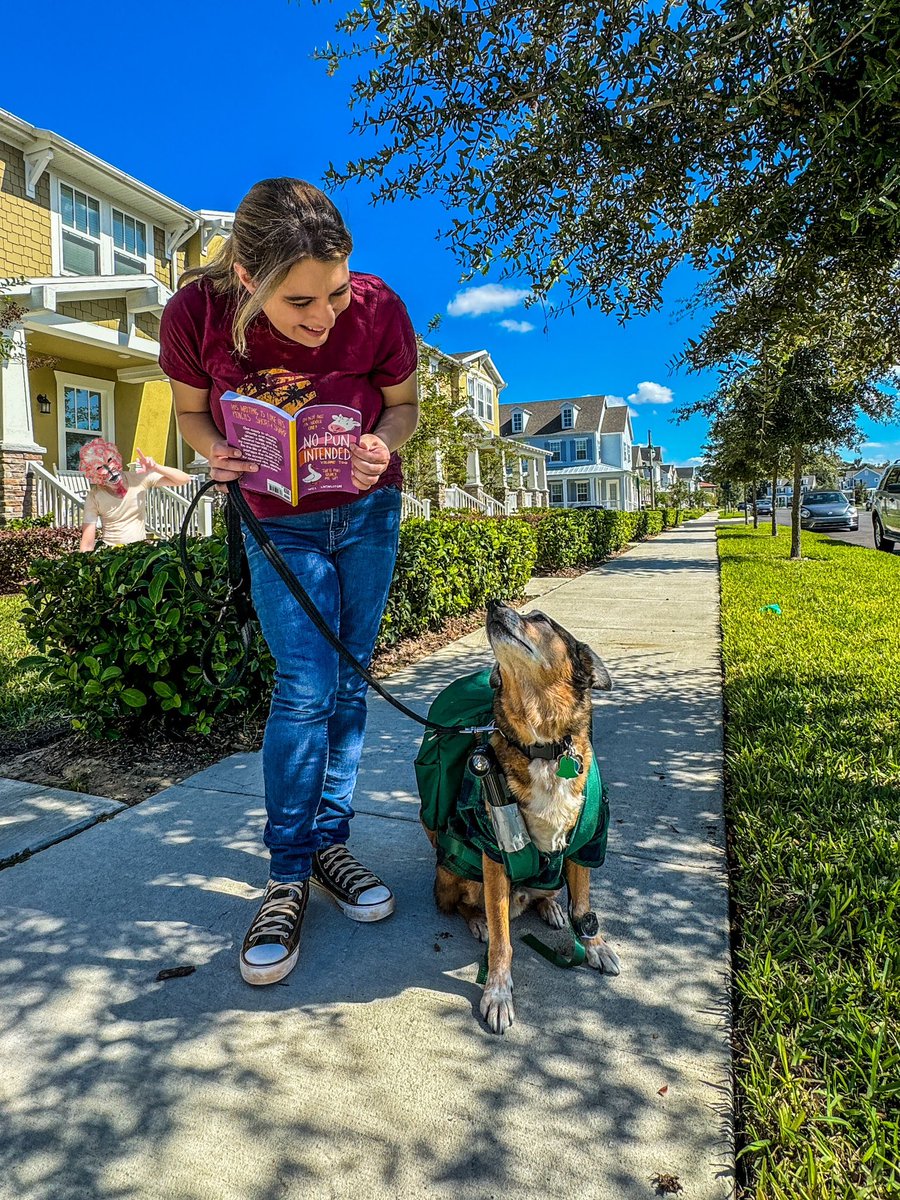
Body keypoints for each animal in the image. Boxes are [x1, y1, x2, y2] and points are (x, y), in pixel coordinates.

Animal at [434, 600, 619, 1032]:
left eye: (540, 619)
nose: (494, 603)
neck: (543, 745)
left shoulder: (588, 839)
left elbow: (583, 907)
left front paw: (594, 944)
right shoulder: (493, 852)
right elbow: (503, 941)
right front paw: (498, 991)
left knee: (549, 893)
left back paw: (550, 906)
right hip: (455, 873)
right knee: (463, 904)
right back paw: (479, 920)